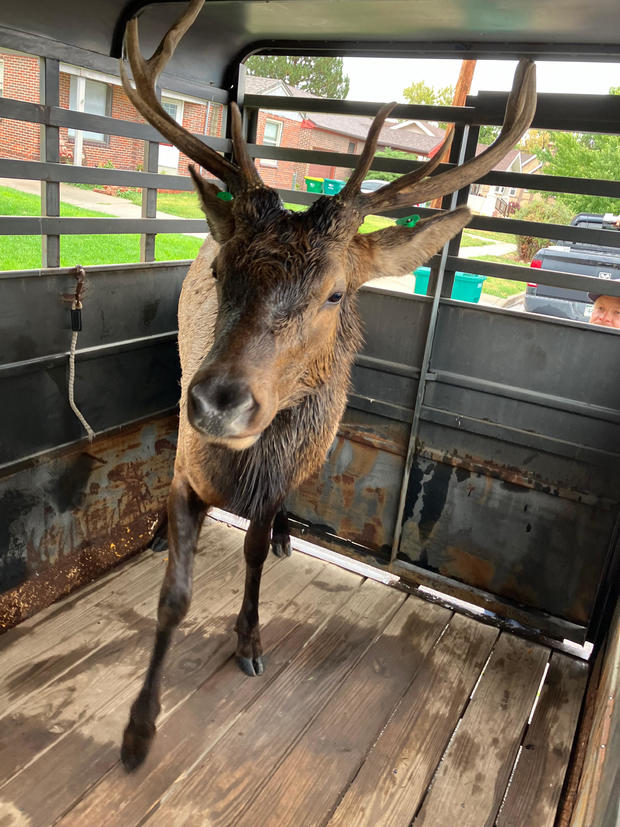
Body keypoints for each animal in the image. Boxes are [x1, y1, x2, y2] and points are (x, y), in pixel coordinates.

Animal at [118, 0, 536, 768]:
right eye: (221, 270)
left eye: (336, 293)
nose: (219, 401)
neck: (241, 467)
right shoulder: (188, 464)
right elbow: (173, 596)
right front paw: (138, 727)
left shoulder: (279, 473)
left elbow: (252, 553)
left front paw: (250, 640)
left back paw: (287, 535)